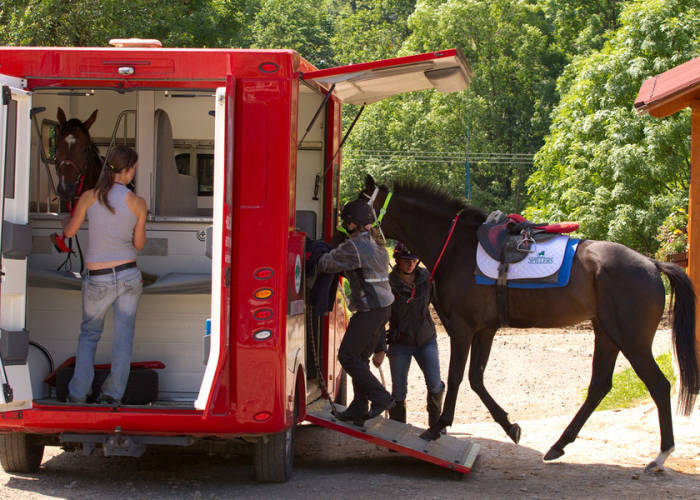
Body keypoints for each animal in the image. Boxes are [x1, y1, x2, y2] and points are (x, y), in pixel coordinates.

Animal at [360, 174, 700, 470]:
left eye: (359, 202)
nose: (347, 227)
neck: (458, 247)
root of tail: (652, 263)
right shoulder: (485, 330)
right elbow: (476, 379)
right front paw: (509, 426)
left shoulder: (463, 328)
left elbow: (456, 377)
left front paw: (438, 426)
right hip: (606, 334)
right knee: (599, 386)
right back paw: (559, 445)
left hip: (632, 341)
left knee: (658, 385)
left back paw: (661, 455)